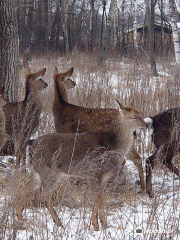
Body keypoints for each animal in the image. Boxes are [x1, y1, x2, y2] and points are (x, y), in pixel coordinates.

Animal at [14, 101, 146, 231]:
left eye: (140, 114)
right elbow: (96, 198)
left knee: (28, 187)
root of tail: (31, 143)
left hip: (39, 170)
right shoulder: (95, 173)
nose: (145, 125)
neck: (113, 145)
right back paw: (59, 222)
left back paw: (20, 217)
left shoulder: (104, 177)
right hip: (50, 171)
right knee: (45, 194)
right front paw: (95, 225)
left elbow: (102, 197)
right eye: (133, 117)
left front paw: (104, 224)